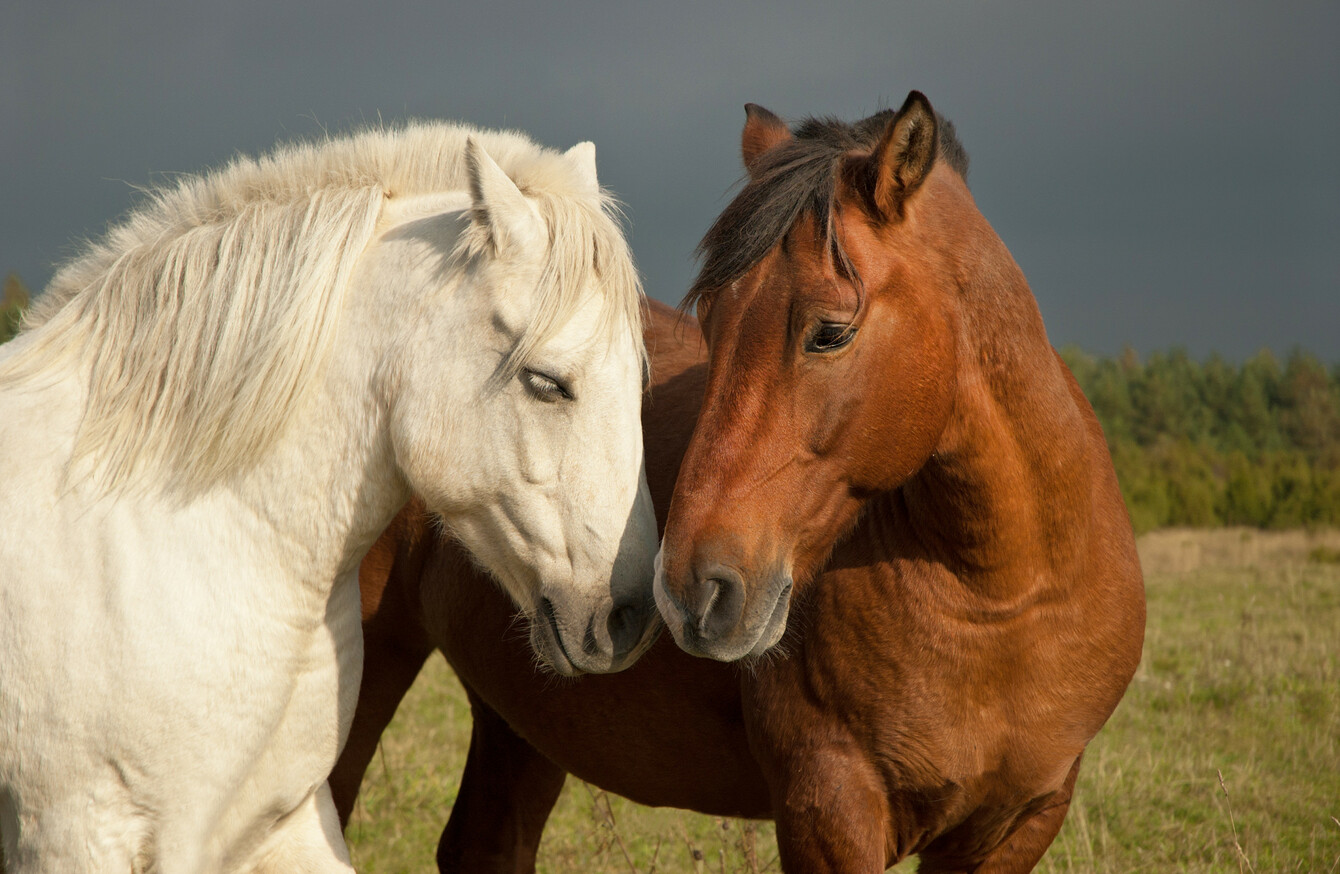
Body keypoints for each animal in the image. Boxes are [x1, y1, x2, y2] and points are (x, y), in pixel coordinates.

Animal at [332, 92, 1141, 868]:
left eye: (830, 332)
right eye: (713, 324)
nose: (692, 590)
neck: (1002, 599)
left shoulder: (1017, 823)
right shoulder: (829, 810)